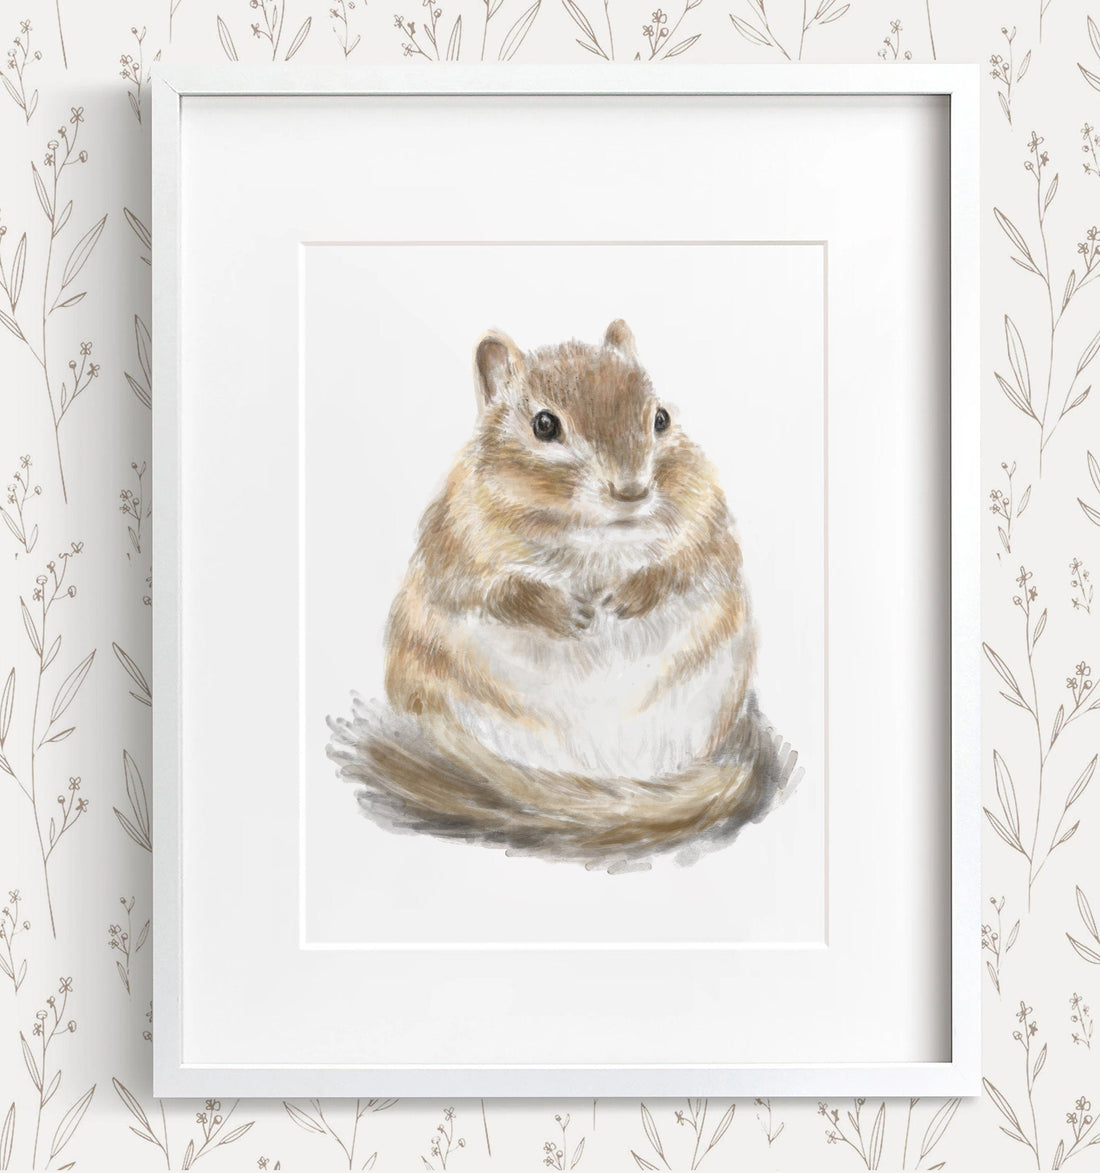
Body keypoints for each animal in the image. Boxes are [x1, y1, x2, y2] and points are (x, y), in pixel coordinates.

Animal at [328, 321, 798, 866]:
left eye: (660, 418)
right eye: (544, 426)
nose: (632, 491)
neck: (594, 535)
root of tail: (599, 777)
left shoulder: (706, 524)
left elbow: (684, 565)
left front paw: (628, 595)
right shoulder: (460, 546)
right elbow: (498, 592)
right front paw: (564, 611)